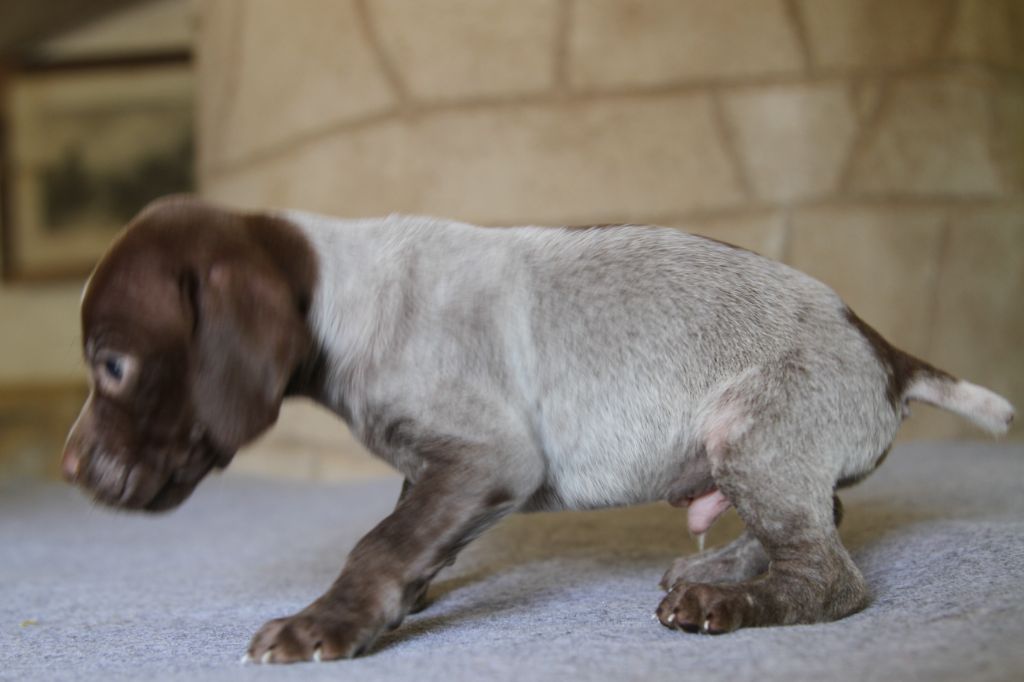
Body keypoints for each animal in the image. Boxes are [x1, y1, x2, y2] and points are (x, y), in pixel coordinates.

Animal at [62, 195, 1014, 663]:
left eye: (113, 365)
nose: (68, 469)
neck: (342, 295)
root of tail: (884, 350)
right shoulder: (440, 468)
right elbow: (409, 533)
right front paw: (393, 603)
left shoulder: (488, 458)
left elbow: (380, 541)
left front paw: (327, 622)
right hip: (757, 449)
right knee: (824, 520)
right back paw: (720, 567)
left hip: (748, 429)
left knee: (830, 573)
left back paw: (731, 600)